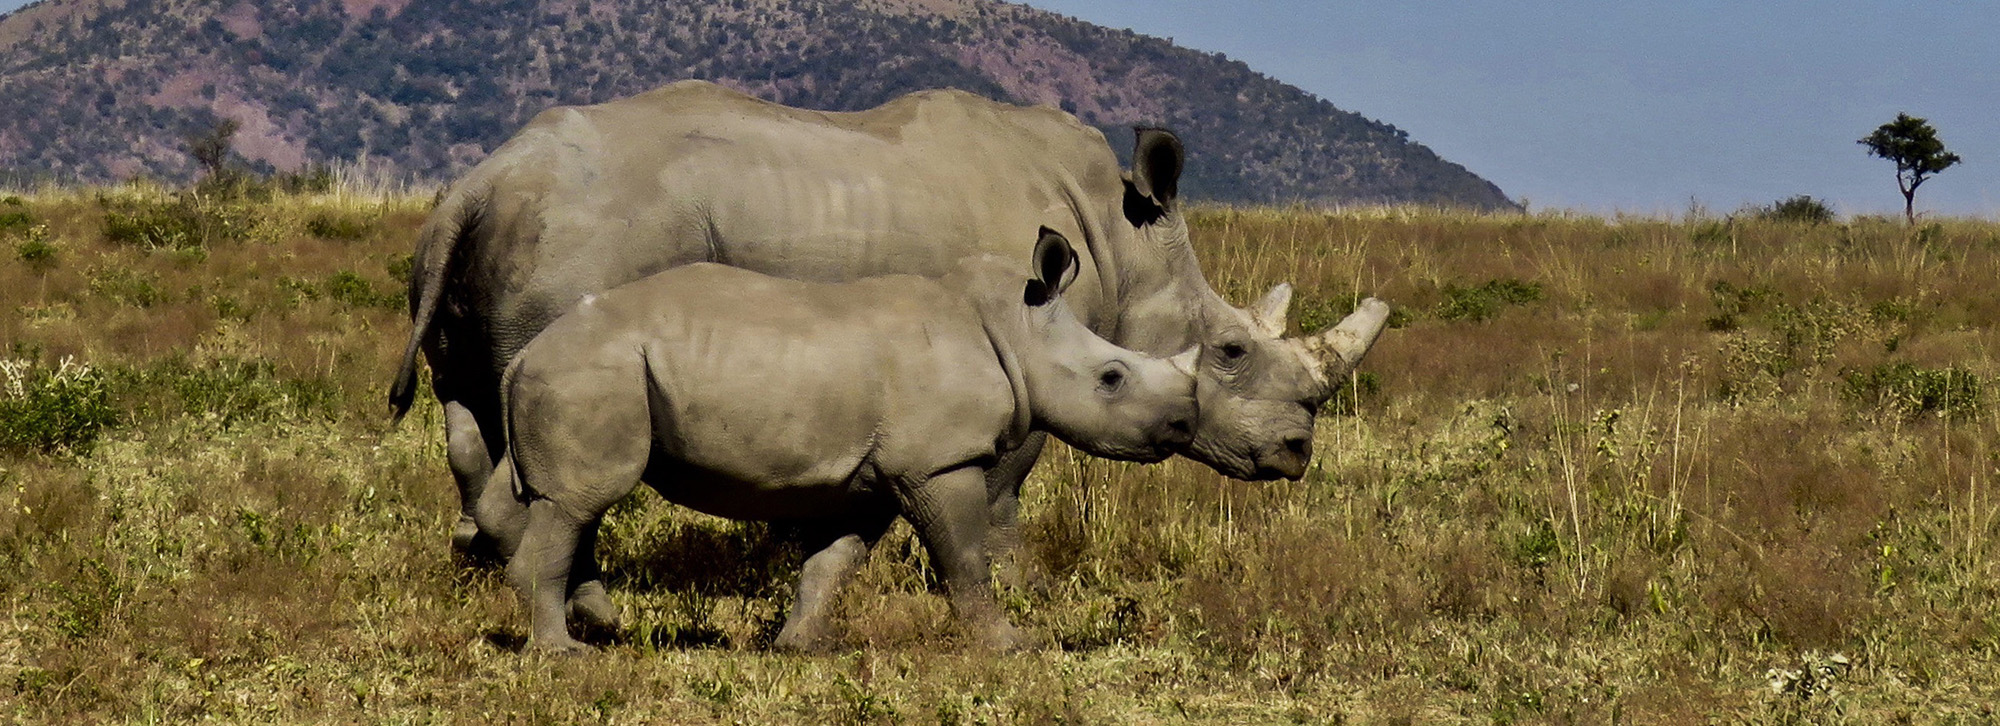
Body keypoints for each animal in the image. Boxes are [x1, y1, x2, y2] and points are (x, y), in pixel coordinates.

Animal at [387, 80, 1392, 568]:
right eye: (1230, 350)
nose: (1295, 452)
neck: (1122, 239)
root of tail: (480, 178)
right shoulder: (1028, 348)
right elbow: (1006, 481)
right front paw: (1007, 578)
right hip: (587, 238)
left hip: (494, 238)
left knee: (471, 410)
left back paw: (484, 562)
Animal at [484, 231, 1198, 653]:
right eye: (1112, 378)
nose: (1185, 424)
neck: (1015, 330)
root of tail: (522, 357)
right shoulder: (938, 463)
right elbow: (965, 559)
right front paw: (1009, 645)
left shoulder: (878, 472)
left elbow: (834, 562)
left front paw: (799, 647)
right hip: (590, 373)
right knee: (579, 503)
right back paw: (564, 654)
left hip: (577, 371)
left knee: (548, 500)